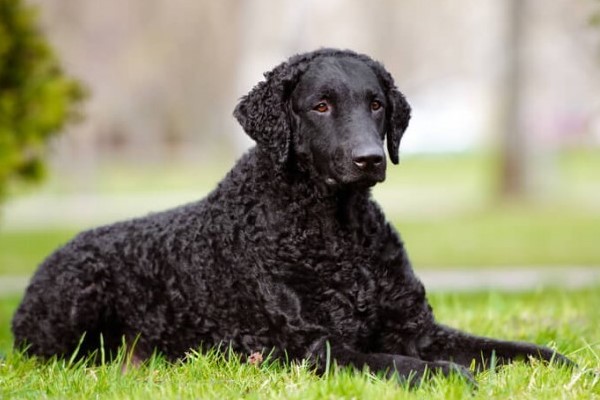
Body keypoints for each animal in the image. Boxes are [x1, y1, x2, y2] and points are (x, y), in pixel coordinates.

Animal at [10, 49, 572, 384]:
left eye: (376, 104)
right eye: (320, 105)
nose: (370, 158)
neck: (338, 232)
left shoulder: (420, 328)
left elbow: (511, 349)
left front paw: (564, 363)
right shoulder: (311, 347)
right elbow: (401, 362)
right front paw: (451, 376)